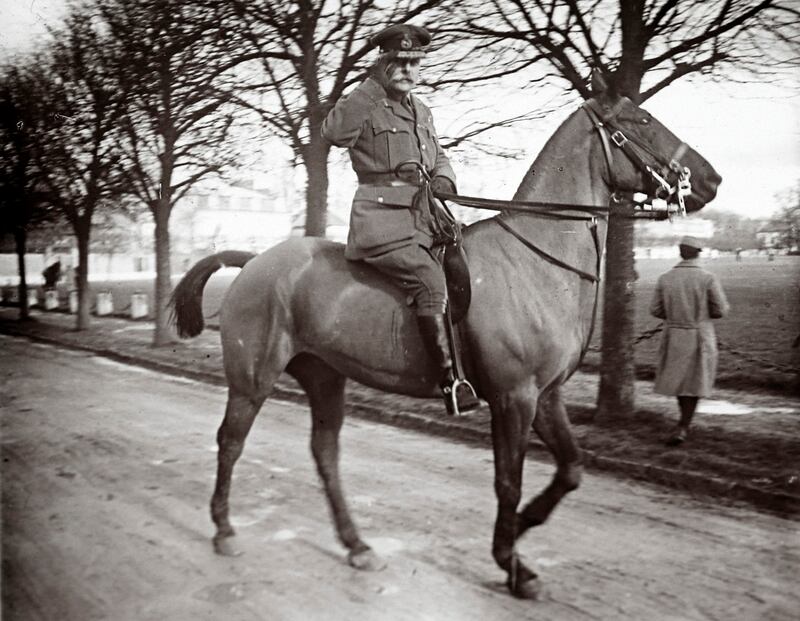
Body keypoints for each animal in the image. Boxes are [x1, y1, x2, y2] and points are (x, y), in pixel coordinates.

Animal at [172, 85, 720, 600]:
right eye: (641, 120)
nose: (711, 179)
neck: (534, 259)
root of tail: (254, 261)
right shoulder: (514, 398)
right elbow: (508, 482)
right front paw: (512, 562)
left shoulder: (545, 397)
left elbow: (571, 469)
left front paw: (522, 532)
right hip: (253, 380)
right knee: (231, 441)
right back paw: (224, 530)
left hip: (325, 377)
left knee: (325, 455)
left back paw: (357, 544)